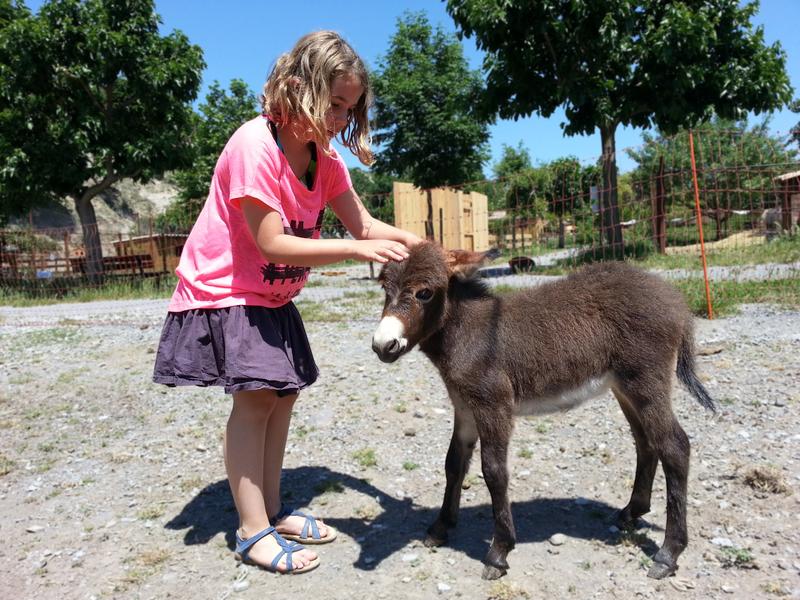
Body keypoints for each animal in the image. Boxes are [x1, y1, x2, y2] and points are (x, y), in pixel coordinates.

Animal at [372, 241, 716, 580]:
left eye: (424, 292)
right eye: (385, 288)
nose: (382, 346)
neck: (468, 332)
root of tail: (675, 300)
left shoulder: (493, 406)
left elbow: (494, 472)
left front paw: (499, 551)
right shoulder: (465, 408)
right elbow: (454, 464)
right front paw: (440, 528)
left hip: (646, 382)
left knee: (674, 446)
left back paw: (668, 553)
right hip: (625, 388)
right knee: (646, 443)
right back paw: (632, 512)